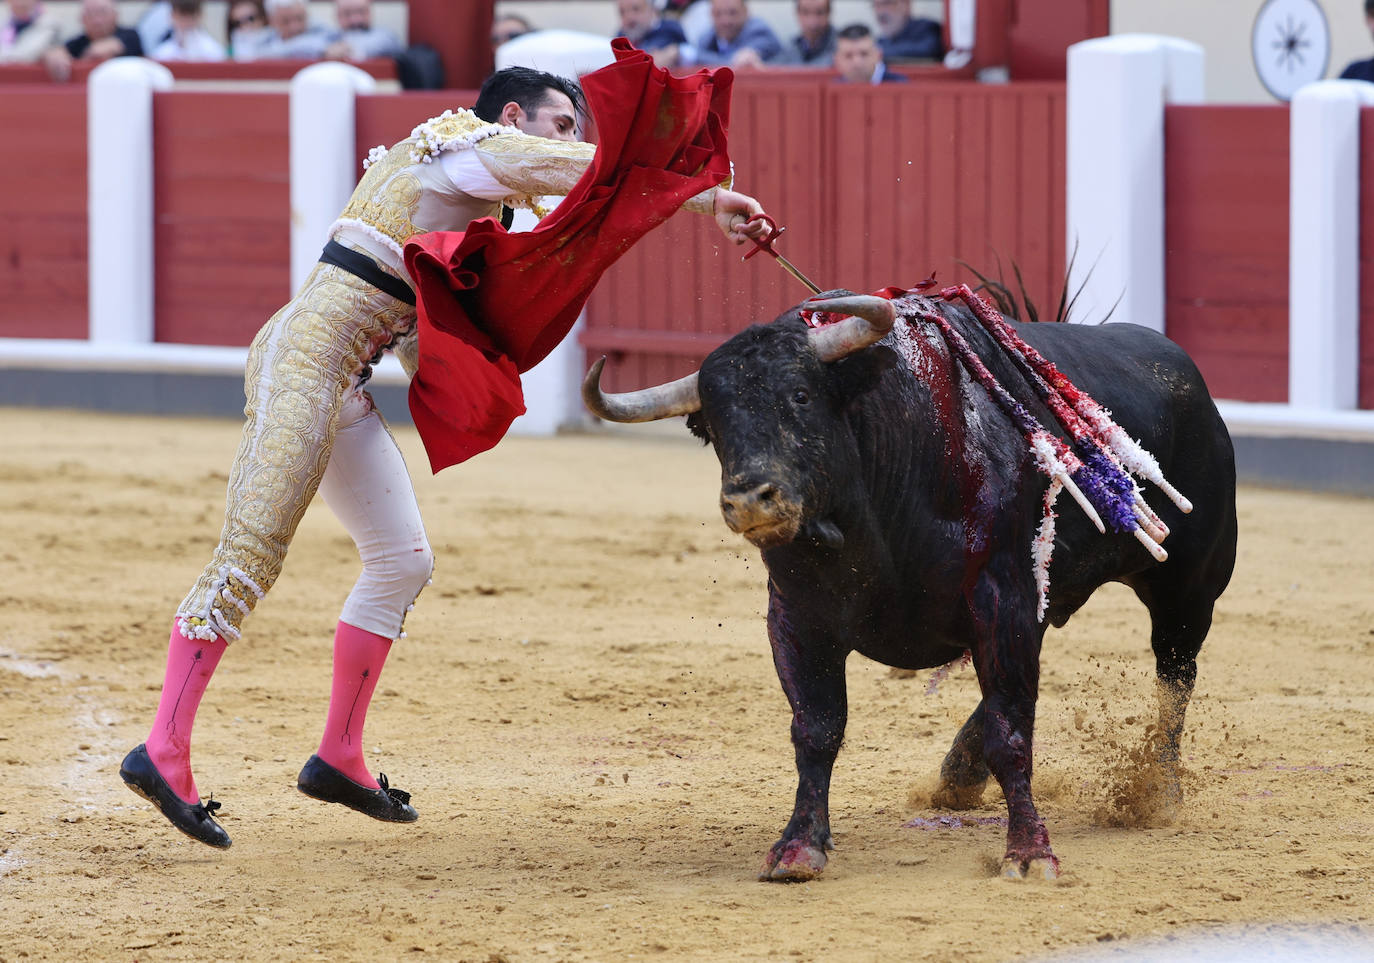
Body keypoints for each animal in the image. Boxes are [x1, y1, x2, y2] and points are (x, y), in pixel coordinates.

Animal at [579, 287, 1236, 879]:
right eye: (714, 426)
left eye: (800, 395)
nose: (749, 500)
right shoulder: (795, 616)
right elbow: (816, 729)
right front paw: (798, 847)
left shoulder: (1003, 598)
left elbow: (1012, 732)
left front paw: (1029, 853)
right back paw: (957, 777)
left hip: (1188, 588)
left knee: (1174, 677)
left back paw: (1160, 792)